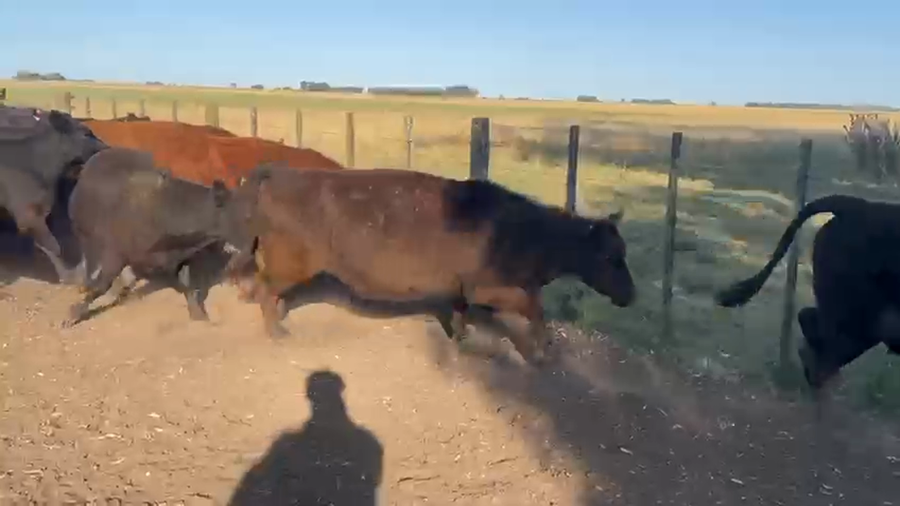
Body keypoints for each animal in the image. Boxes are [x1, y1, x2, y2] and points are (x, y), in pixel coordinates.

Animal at [63, 146, 238, 328]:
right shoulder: (115, 256)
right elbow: (101, 285)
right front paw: (74, 314)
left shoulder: (181, 258)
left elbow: (187, 286)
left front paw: (199, 315)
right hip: (84, 234)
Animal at [221, 165, 636, 365]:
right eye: (610, 257)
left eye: (623, 252)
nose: (631, 296)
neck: (526, 234)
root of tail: (281, 171)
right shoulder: (489, 287)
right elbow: (535, 308)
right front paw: (543, 352)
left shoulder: (464, 287)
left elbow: (462, 311)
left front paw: (462, 342)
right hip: (291, 260)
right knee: (264, 287)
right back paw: (276, 331)